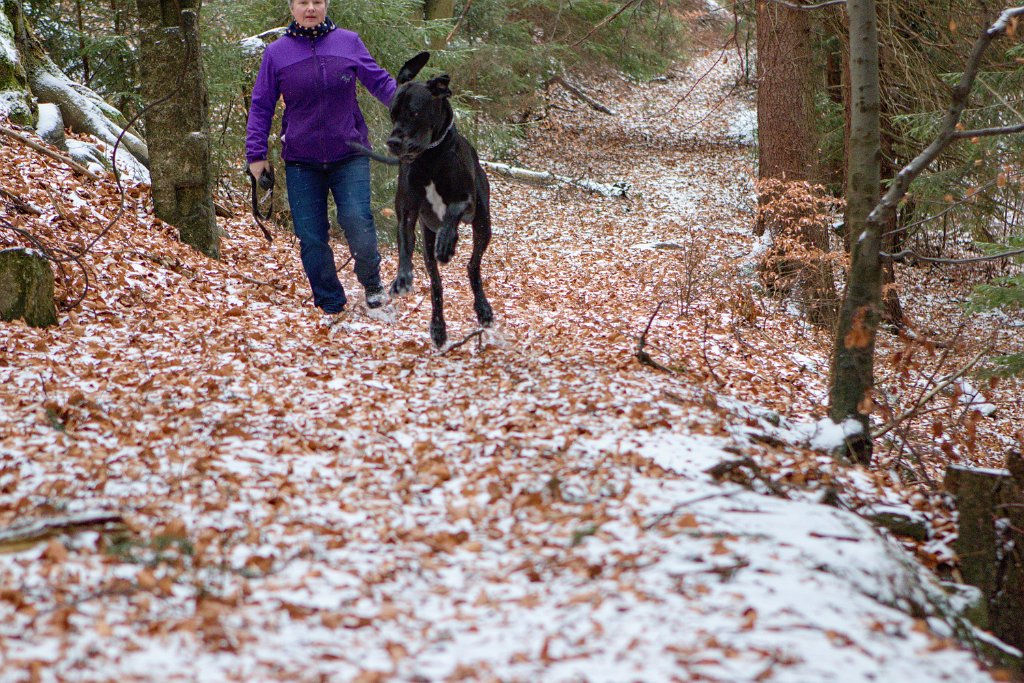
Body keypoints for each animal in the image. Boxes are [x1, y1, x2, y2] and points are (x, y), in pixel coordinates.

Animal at [372, 52, 495, 348]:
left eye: (414, 112)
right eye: (392, 112)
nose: (393, 142)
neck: (429, 157)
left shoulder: (467, 203)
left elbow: (452, 211)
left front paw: (447, 243)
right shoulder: (407, 212)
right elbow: (405, 245)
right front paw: (402, 278)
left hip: (483, 225)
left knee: (473, 265)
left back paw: (482, 307)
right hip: (427, 243)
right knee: (436, 282)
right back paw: (438, 327)